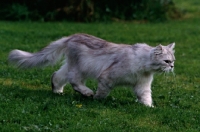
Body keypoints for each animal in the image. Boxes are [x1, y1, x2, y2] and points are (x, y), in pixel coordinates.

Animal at [8, 33, 175, 107]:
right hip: (80, 69)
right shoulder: (107, 77)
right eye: (166, 61)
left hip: (71, 66)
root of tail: (72, 36)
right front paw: (97, 99)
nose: (172, 67)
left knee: (56, 76)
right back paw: (87, 93)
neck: (144, 66)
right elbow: (103, 92)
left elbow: (146, 98)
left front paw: (149, 108)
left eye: (173, 61)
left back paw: (57, 92)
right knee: (74, 81)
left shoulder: (142, 85)